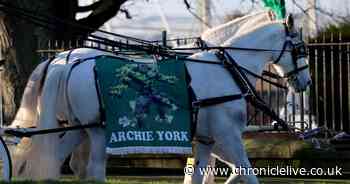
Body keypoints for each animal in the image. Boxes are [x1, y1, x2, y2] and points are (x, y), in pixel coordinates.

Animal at [8, 15, 310, 184]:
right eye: (300, 48)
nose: (305, 82)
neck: (226, 69)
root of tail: (65, 61)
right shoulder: (228, 136)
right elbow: (247, 172)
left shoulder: (206, 140)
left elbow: (208, 175)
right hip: (99, 131)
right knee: (93, 169)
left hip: (77, 128)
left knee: (55, 161)